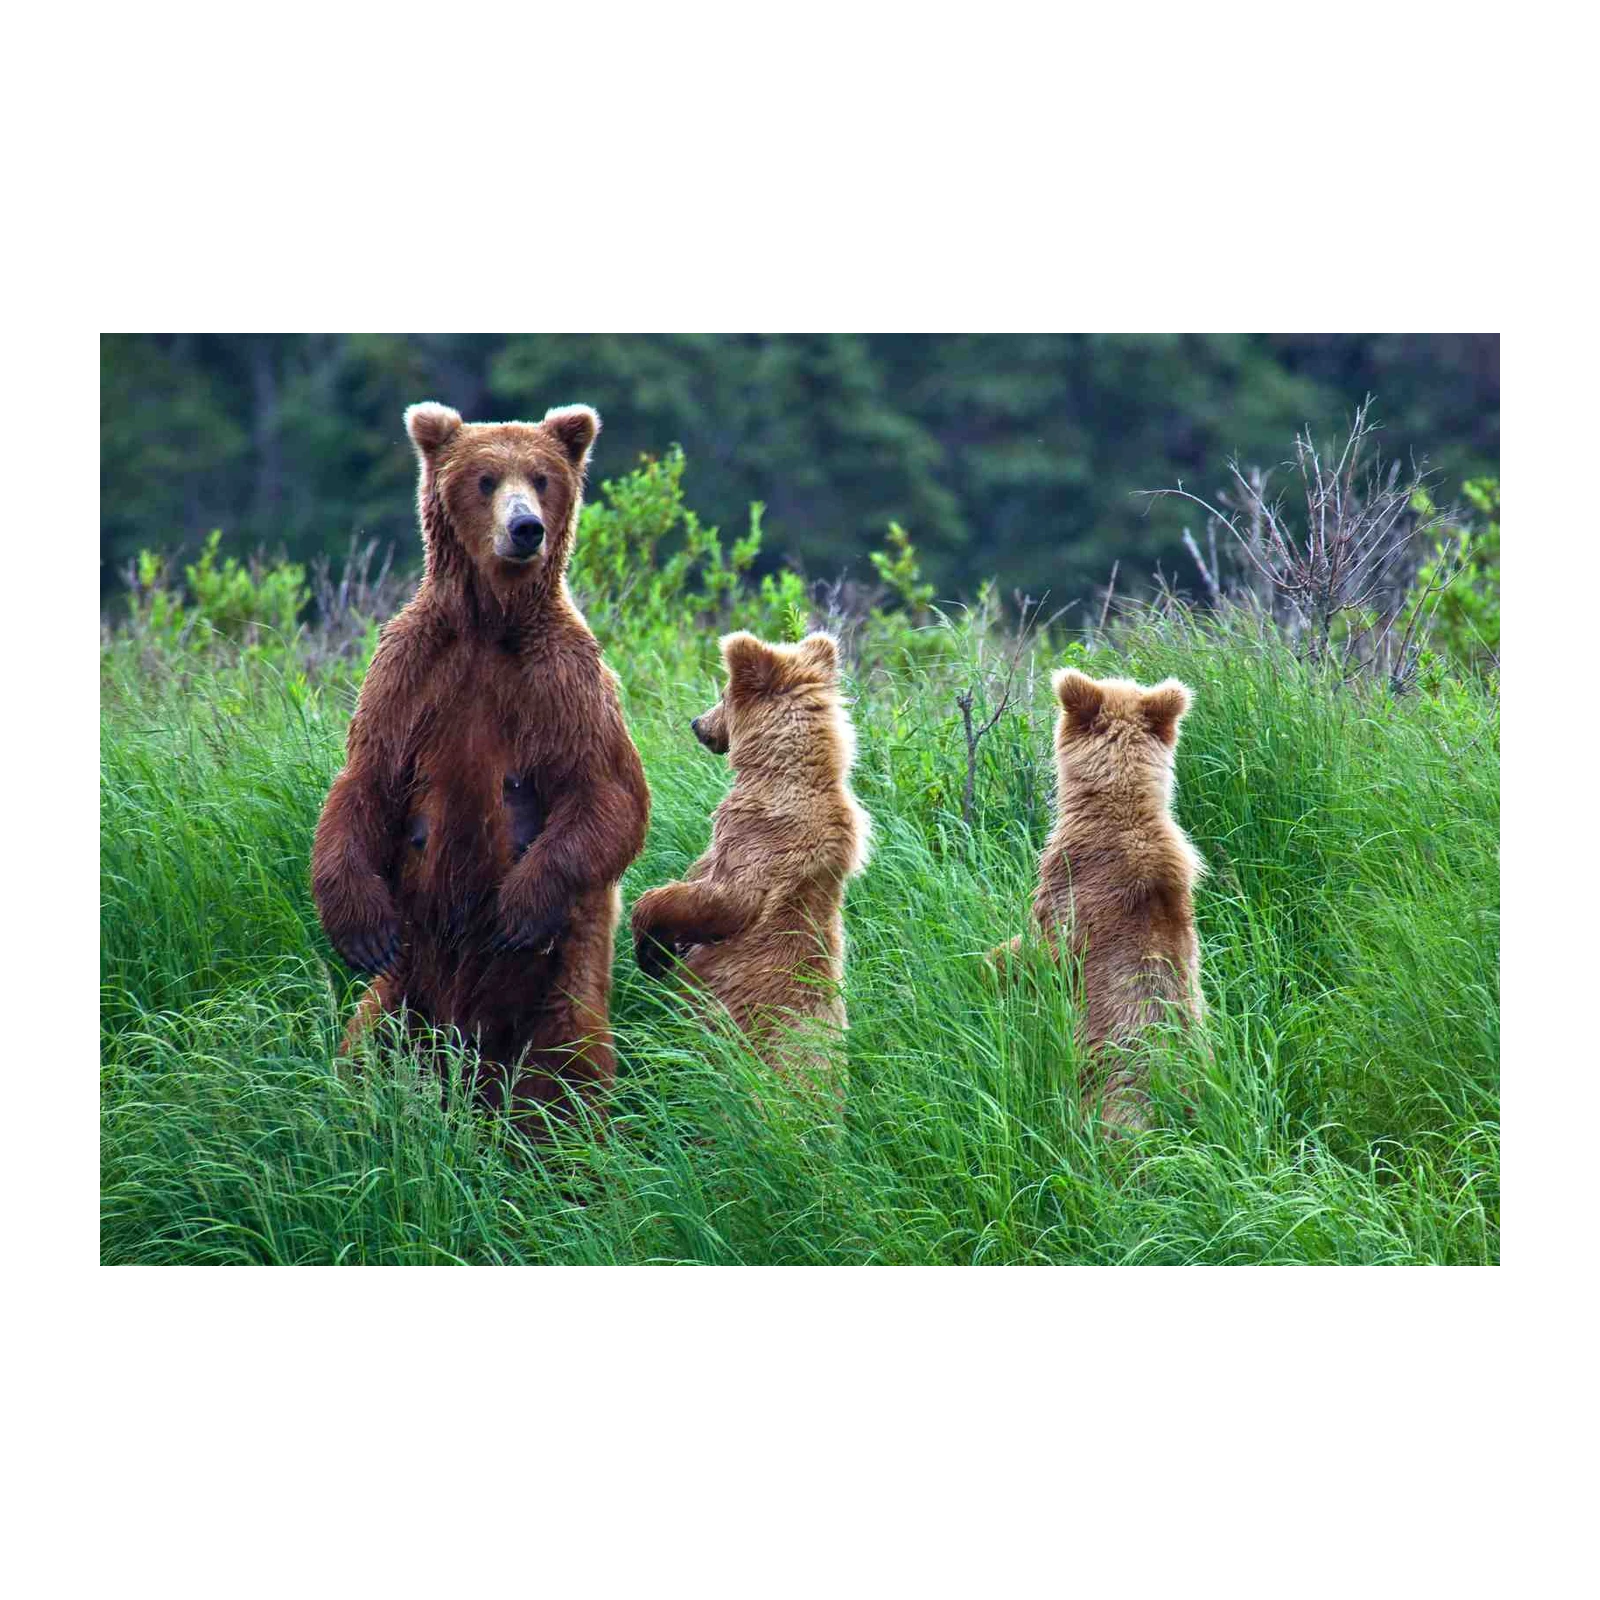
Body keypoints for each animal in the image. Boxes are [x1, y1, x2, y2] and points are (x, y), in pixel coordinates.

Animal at [311, 401, 650, 1127]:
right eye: (486, 478)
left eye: (542, 478)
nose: (526, 528)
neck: (490, 623)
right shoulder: (411, 671)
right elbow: (364, 782)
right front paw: (358, 926)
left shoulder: (563, 681)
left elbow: (607, 794)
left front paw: (520, 906)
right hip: (406, 986)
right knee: (365, 1047)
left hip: (558, 989)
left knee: (567, 1071)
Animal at [629, 631, 871, 1108]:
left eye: (722, 694)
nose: (697, 723)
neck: (778, 772)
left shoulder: (760, 839)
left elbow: (721, 899)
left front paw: (651, 944)